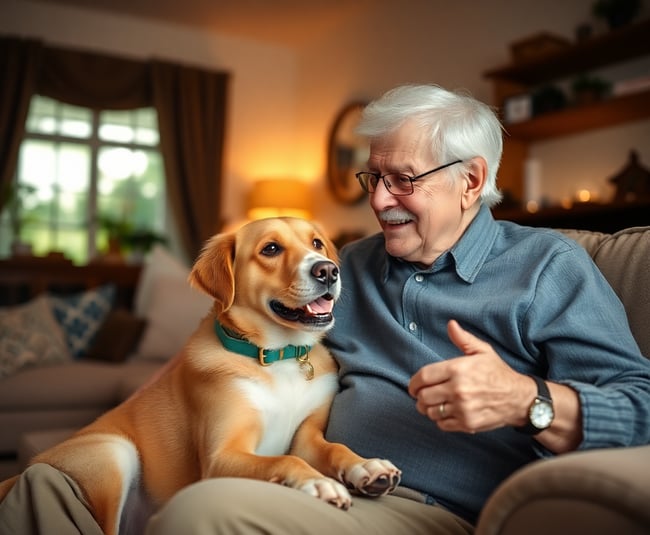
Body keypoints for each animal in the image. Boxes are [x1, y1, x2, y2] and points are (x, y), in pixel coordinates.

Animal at [0, 218, 400, 535]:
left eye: (316, 243)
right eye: (270, 249)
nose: (328, 270)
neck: (278, 357)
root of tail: (27, 467)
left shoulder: (307, 437)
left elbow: (334, 448)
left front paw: (366, 467)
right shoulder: (222, 456)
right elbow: (285, 461)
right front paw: (318, 482)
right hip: (113, 454)